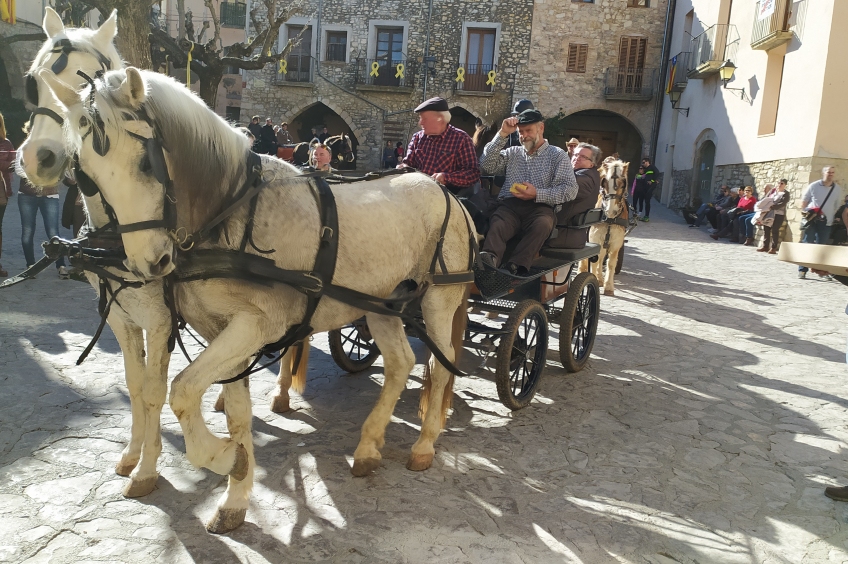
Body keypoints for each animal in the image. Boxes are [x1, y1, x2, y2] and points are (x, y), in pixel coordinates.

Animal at [18, 7, 308, 498]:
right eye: (34, 82)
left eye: (86, 76)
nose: (40, 158)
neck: (116, 243)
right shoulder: (120, 317)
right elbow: (135, 386)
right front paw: (132, 455)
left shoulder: (158, 320)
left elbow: (155, 390)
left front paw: (148, 470)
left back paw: (282, 391)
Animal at [43, 66, 474, 532]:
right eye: (85, 174)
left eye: (145, 162)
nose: (148, 262)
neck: (230, 214)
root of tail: (444, 192)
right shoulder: (220, 329)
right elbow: (234, 412)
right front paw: (235, 491)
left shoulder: (253, 325)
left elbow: (181, 391)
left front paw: (222, 457)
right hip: (380, 304)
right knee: (400, 363)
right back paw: (368, 447)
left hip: (438, 300)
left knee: (440, 365)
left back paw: (424, 445)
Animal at [576, 155, 628, 296]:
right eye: (604, 183)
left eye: (623, 184)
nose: (610, 210)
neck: (610, 219)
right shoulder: (595, 239)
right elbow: (595, 261)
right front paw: (593, 280)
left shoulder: (616, 243)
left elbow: (611, 263)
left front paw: (608, 286)